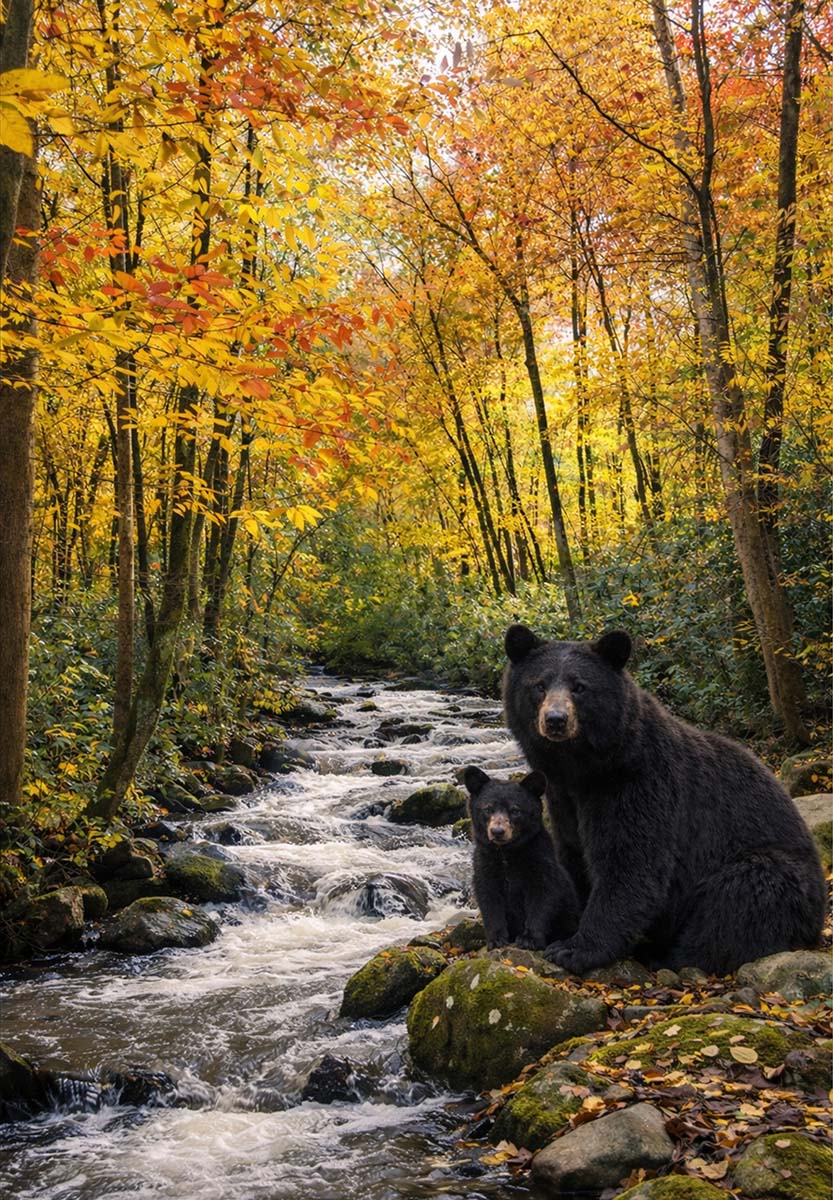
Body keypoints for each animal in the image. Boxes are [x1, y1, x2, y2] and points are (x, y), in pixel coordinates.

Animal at [463, 766, 580, 950]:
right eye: (487, 809)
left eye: (515, 810)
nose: (497, 831)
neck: (507, 853)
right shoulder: (485, 864)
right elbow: (489, 899)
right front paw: (496, 939)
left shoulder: (540, 863)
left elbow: (543, 896)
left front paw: (529, 939)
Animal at [502, 624, 827, 976]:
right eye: (539, 685)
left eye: (579, 687)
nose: (556, 719)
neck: (585, 768)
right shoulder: (563, 799)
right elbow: (573, 856)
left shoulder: (640, 785)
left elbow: (631, 863)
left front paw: (575, 948)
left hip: (771, 872)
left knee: (739, 900)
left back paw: (666, 955)